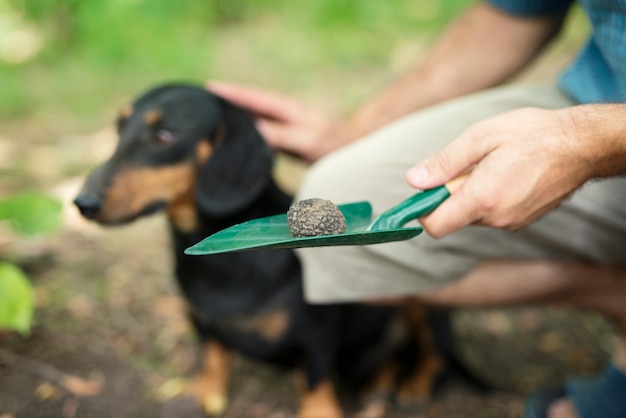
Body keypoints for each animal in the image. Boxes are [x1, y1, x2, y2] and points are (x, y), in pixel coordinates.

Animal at [73, 83, 456, 416]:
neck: (226, 265)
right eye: (119, 128)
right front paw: (204, 394)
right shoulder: (202, 324)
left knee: (434, 354)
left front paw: (319, 412)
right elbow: (213, 357)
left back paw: (412, 388)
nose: (82, 203)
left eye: (163, 135)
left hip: (427, 304)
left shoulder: (317, 333)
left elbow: (315, 378)